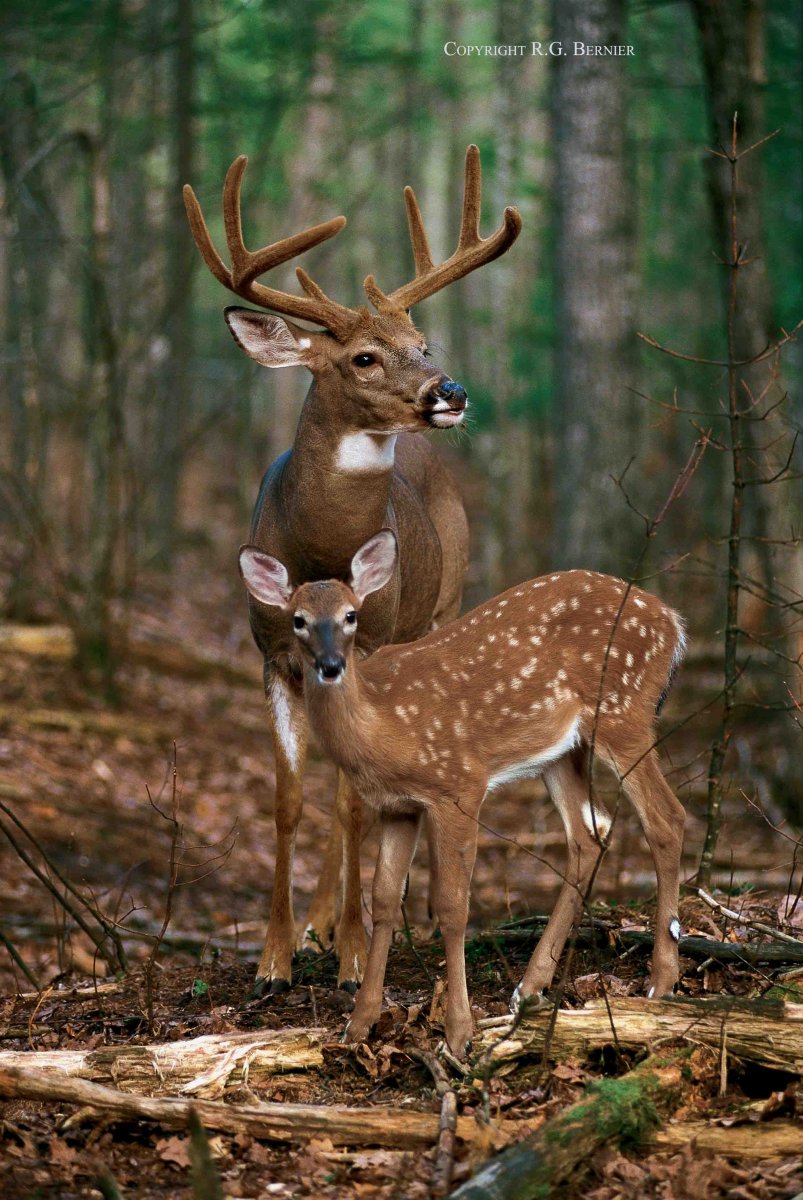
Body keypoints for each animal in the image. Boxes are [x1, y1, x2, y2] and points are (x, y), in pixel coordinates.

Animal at [183, 146, 522, 995]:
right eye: (363, 356)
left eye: (423, 342)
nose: (449, 391)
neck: (321, 544)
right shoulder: (270, 653)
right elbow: (288, 798)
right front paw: (275, 955)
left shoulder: (369, 641)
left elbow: (350, 802)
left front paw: (349, 952)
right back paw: (320, 921)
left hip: (437, 611)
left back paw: (387, 919)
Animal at [238, 529, 687, 1057]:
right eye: (298, 619)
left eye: (351, 615)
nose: (330, 665)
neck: (383, 726)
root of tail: (673, 623)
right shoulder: (398, 806)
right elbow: (384, 901)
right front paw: (359, 1023)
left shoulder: (458, 784)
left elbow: (454, 908)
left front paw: (458, 1034)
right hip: (561, 750)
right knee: (588, 837)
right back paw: (530, 987)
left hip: (622, 711)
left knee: (666, 818)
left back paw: (661, 981)